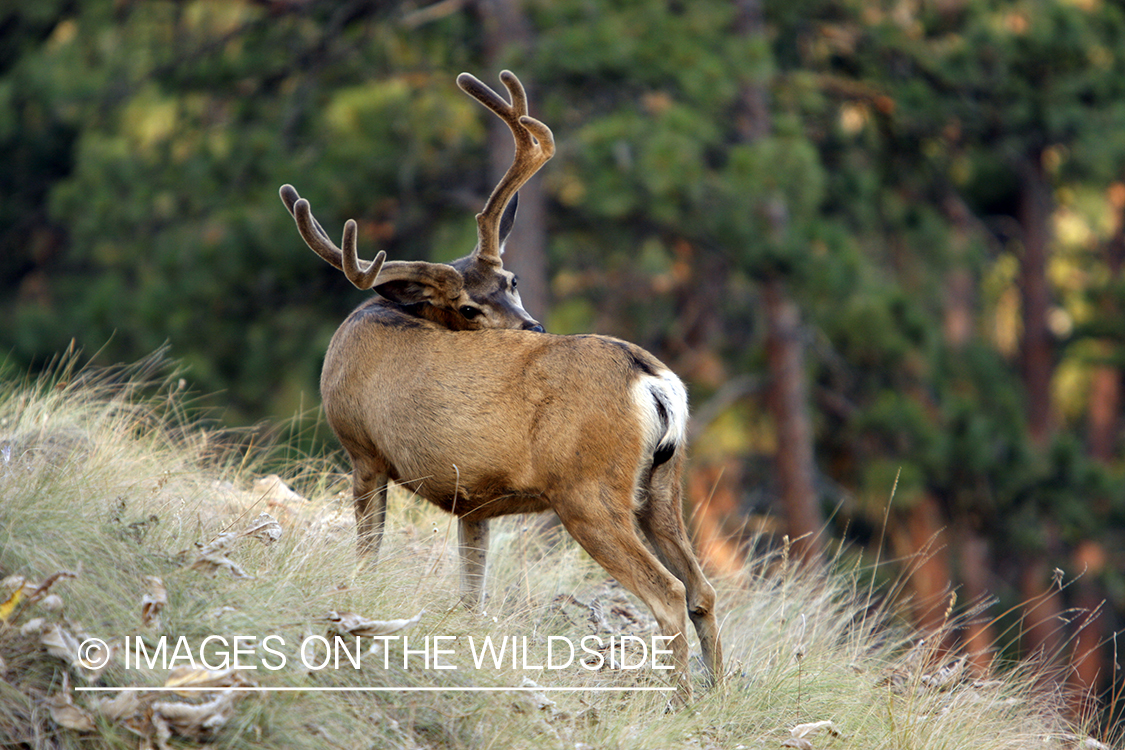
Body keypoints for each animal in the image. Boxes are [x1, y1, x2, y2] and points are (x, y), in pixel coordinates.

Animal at [279, 71, 721, 701]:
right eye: (471, 304)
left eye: (512, 280)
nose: (534, 326)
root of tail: (649, 376)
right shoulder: (474, 501)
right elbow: (472, 590)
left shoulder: (362, 451)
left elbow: (368, 554)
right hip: (663, 485)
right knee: (703, 590)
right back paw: (719, 693)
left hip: (586, 490)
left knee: (668, 593)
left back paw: (679, 702)